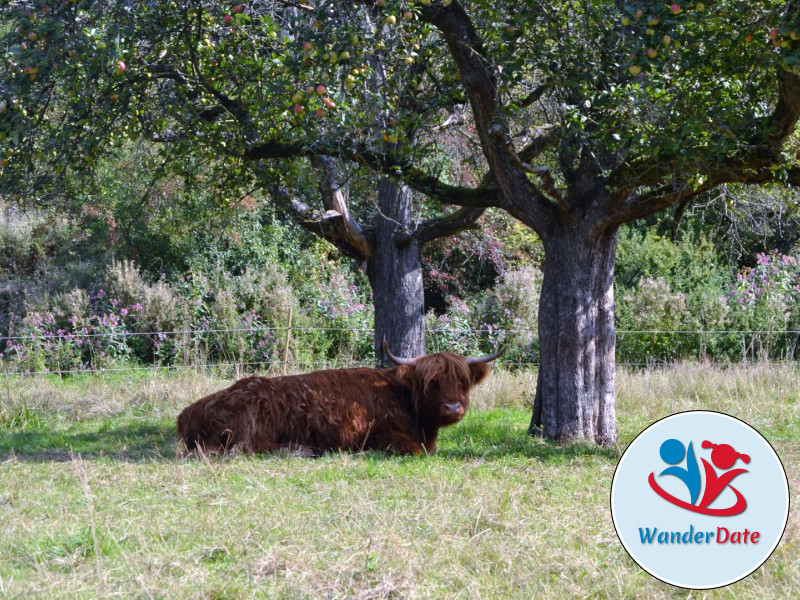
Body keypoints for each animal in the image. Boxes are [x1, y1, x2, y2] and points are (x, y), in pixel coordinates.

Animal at [178, 342, 500, 454]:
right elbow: (417, 450)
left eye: (462, 381)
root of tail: (186, 414)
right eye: (431, 383)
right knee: (249, 448)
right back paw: (303, 450)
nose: (452, 407)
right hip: (254, 421)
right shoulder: (376, 433)